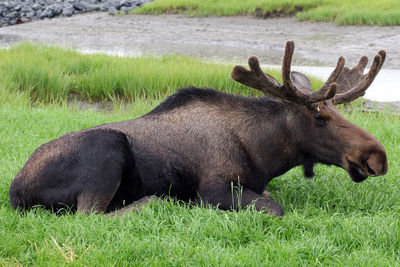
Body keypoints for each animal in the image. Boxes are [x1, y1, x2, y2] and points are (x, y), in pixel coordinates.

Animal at [8, 42, 388, 218]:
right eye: (319, 116)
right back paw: (158, 200)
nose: (378, 156)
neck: (264, 154)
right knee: (91, 215)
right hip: (107, 148)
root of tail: (15, 190)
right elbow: (274, 206)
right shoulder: (214, 189)